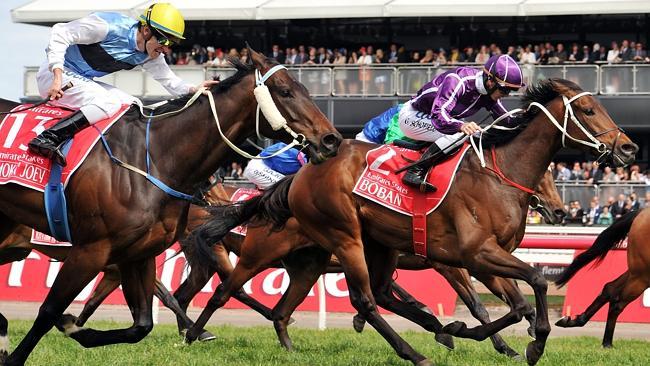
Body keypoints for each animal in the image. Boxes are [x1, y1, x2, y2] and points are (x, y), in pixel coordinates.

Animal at [0, 46, 340, 366]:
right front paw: (21, 352)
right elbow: (49, 310)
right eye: (285, 91)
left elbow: (141, 325)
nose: (331, 139)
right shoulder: (91, 250)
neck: (152, 159)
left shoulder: (136, 253)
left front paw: (74, 327)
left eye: (307, 87)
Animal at [181, 78, 632, 364]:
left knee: (305, 305)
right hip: (330, 240)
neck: (497, 175)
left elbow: (514, 302)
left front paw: (480, 336)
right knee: (237, 292)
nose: (628, 148)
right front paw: (531, 343)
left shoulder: (483, 258)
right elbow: (531, 283)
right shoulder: (471, 256)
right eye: (588, 110)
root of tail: (300, 176)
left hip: (337, 255)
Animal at [552, 207, 648, 348]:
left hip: (638, 271)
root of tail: (641, 212)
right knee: (617, 302)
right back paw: (607, 343)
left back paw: (577, 321)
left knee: (610, 288)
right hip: (642, 275)